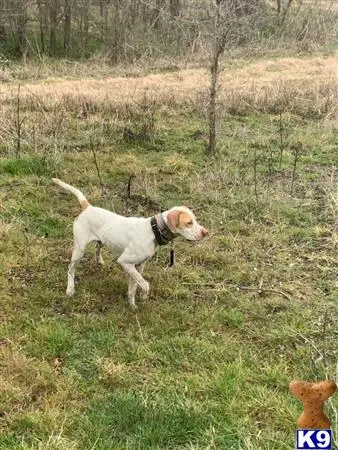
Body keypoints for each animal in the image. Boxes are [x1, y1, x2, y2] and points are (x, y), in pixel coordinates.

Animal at [52, 179, 209, 310]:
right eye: (189, 223)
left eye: (195, 220)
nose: (205, 232)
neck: (153, 230)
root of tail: (87, 207)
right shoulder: (125, 262)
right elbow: (144, 284)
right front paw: (143, 296)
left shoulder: (138, 266)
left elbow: (134, 286)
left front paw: (132, 304)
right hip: (79, 250)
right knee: (70, 269)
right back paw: (70, 289)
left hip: (100, 241)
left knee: (97, 248)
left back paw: (100, 261)